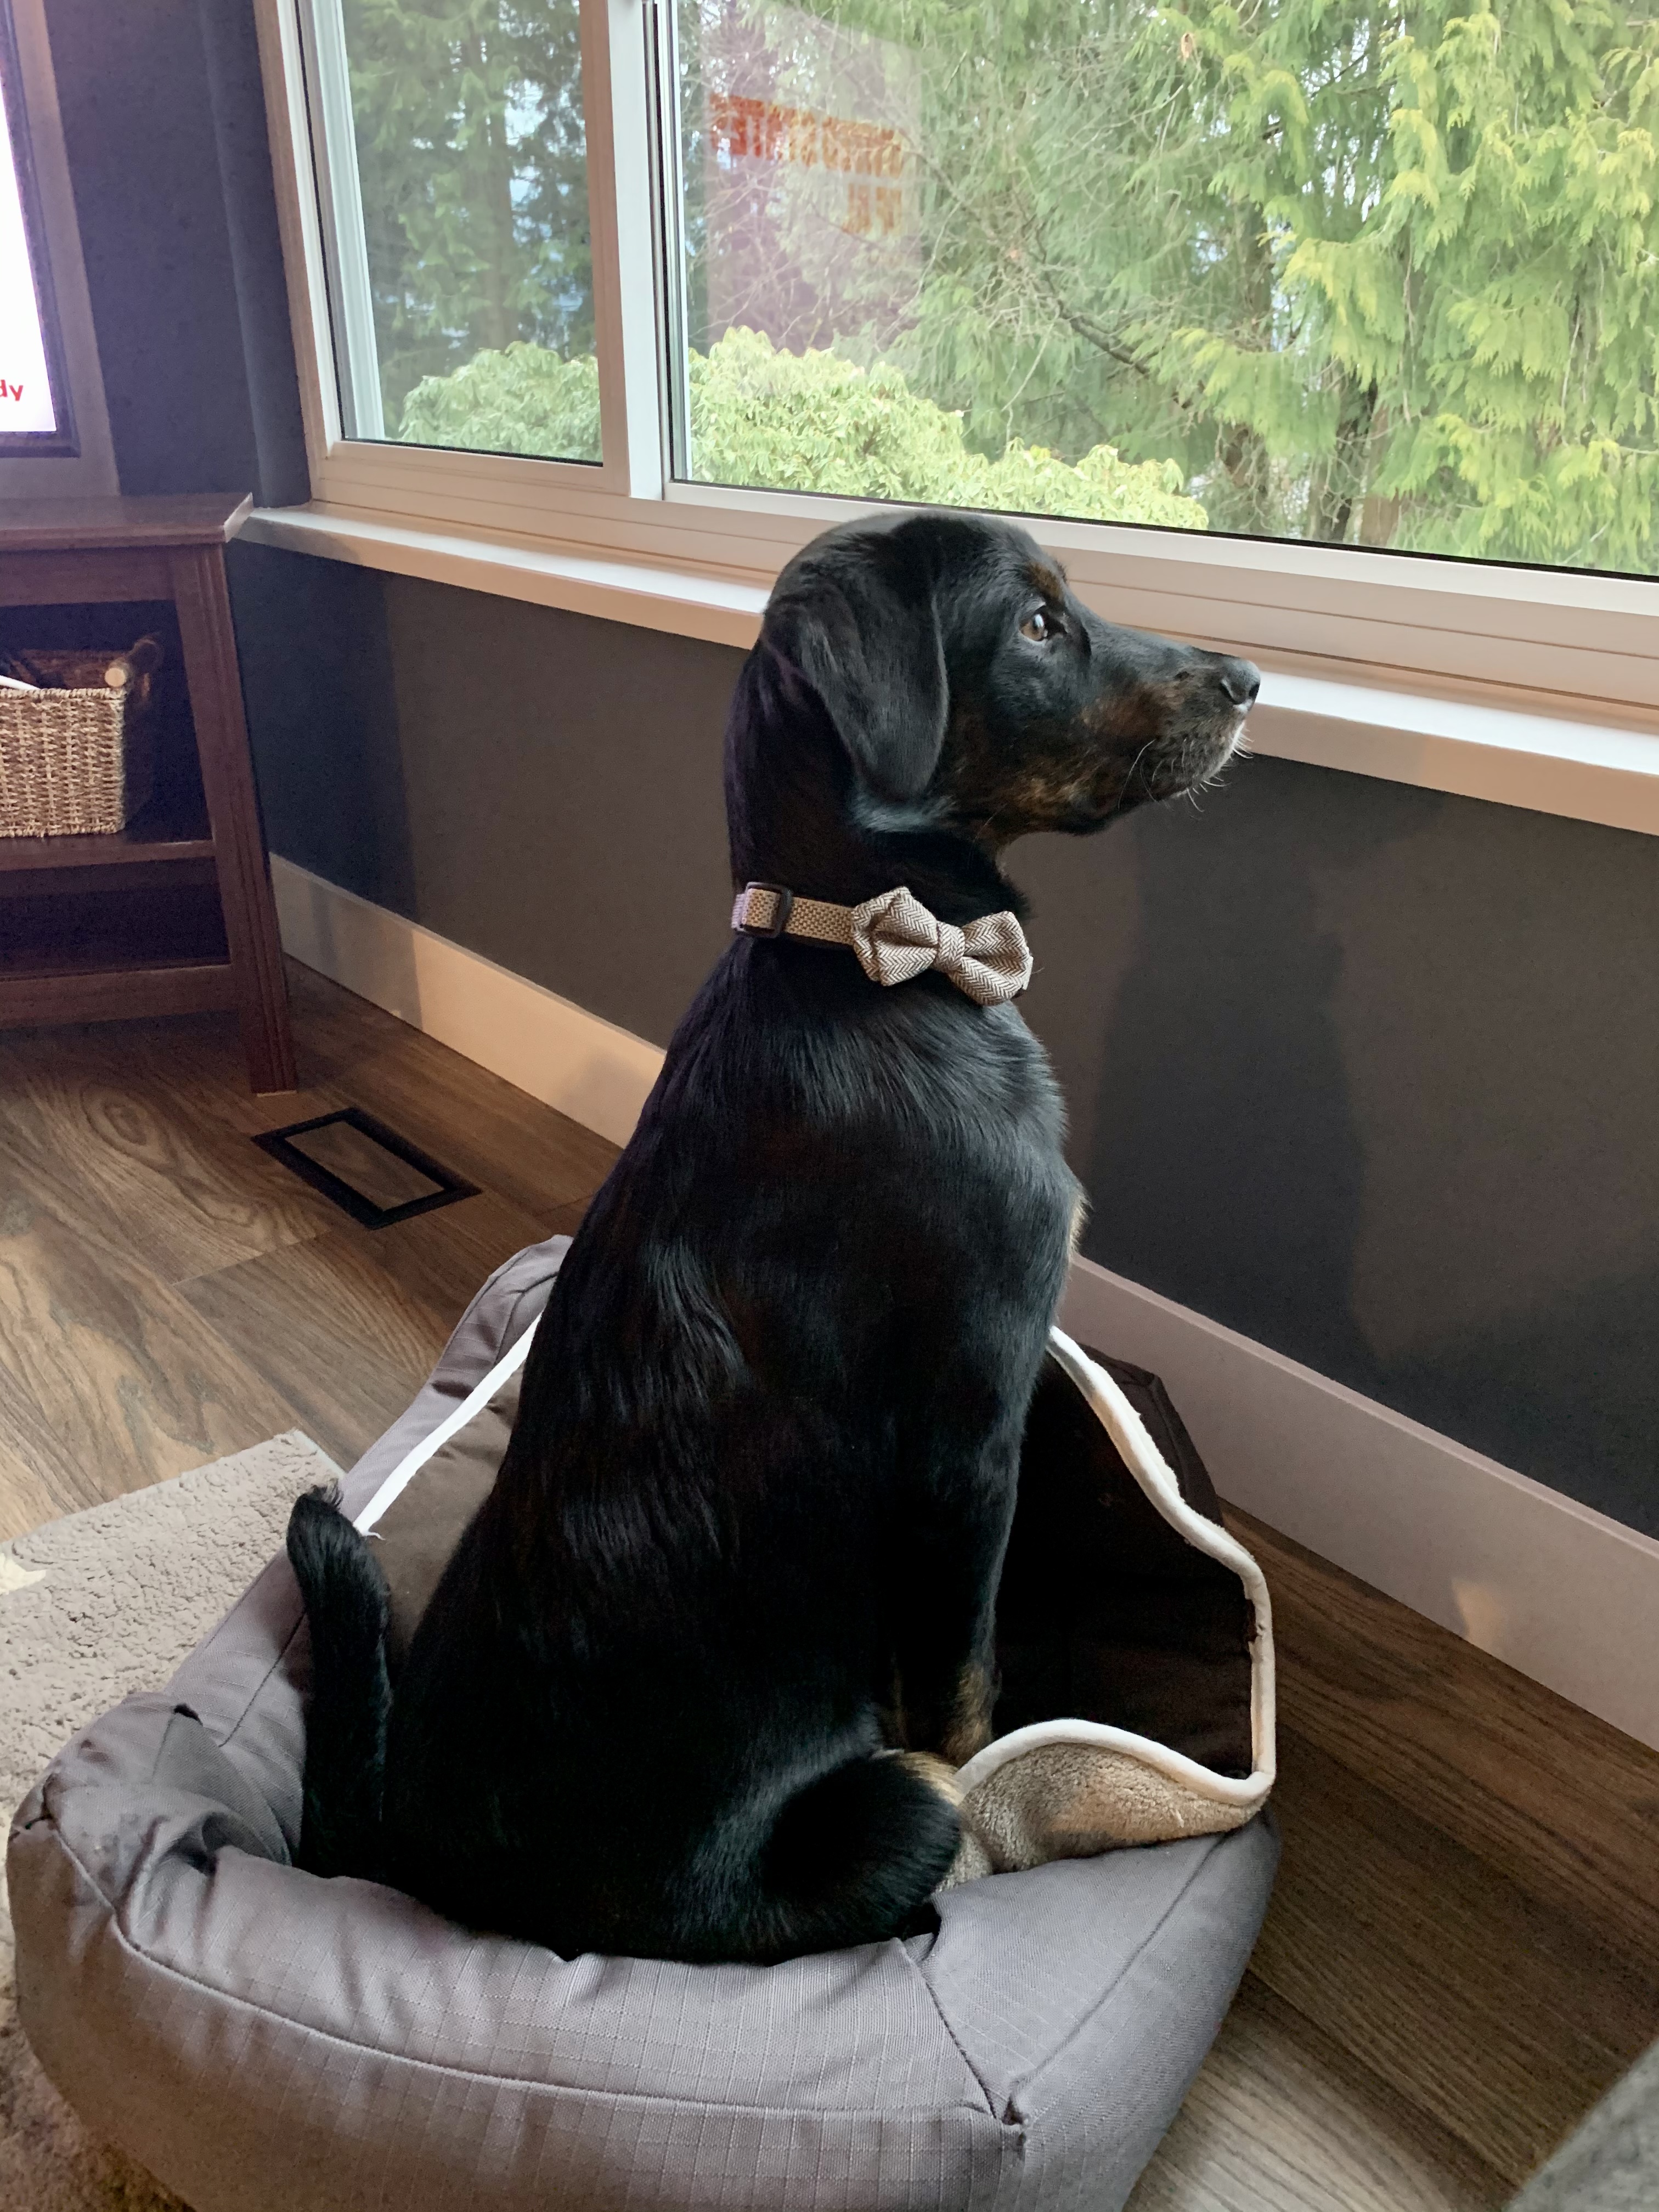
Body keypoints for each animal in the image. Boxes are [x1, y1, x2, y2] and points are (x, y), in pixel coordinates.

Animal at [287, 509, 1257, 1964]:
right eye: (1040, 623)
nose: (1250, 680)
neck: (870, 957)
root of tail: (428, 1870)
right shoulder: (972, 1442)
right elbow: (965, 1700)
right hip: (880, 1810)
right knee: (927, 1795)